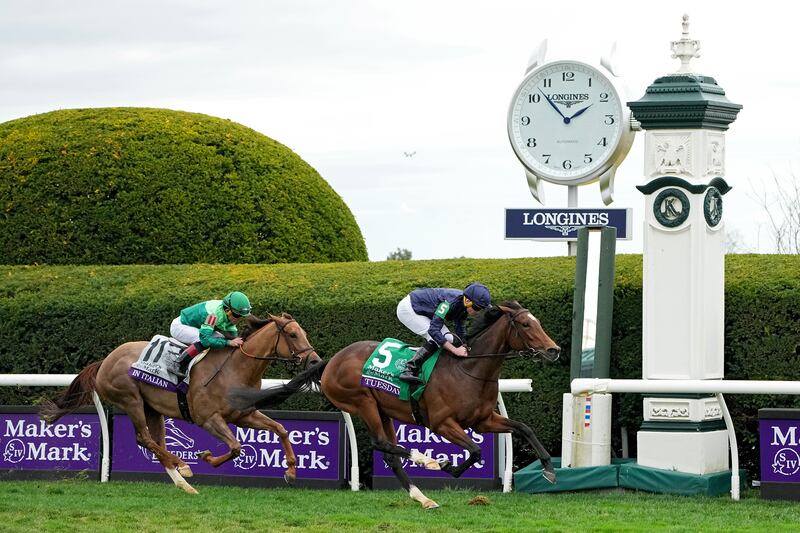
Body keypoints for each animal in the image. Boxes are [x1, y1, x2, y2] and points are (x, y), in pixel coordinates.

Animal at [37, 312, 318, 494]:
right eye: (292, 334)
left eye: (304, 333)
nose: (315, 361)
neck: (235, 368)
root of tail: (105, 360)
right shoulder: (208, 419)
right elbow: (237, 447)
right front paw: (206, 457)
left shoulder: (243, 415)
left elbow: (281, 430)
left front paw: (291, 471)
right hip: (130, 399)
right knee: (144, 438)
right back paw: (183, 466)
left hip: (153, 409)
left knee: (156, 442)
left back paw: (184, 483)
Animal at [228, 300, 560, 508]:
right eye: (526, 325)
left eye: (538, 322)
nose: (554, 350)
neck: (468, 368)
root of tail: (330, 361)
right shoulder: (442, 423)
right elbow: (476, 450)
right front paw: (449, 467)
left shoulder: (483, 420)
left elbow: (523, 427)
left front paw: (548, 469)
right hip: (362, 403)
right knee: (382, 444)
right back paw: (428, 461)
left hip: (384, 410)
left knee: (389, 451)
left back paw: (422, 497)